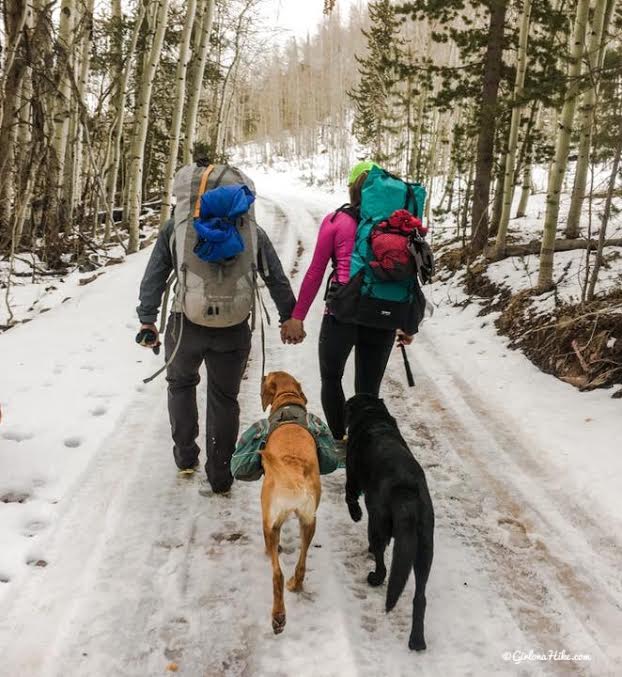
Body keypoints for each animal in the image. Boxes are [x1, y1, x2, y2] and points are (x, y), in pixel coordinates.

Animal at [344, 394, 436, 652]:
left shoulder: (352, 475)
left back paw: (374, 578)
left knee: (382, 563)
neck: (373, 416)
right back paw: (417, 641)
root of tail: (406, 493)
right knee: (420, 597)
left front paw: (355, 514)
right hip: (425, 549)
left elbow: (349, 496)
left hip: (377, 524)